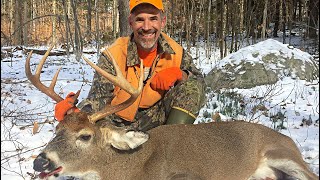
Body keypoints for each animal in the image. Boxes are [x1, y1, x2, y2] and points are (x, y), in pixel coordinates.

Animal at [26, 46, 318, 180]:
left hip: (284, 155)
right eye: (57, 129)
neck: (128, 169)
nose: (40, 162)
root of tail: (289, 140)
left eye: (85, 136)